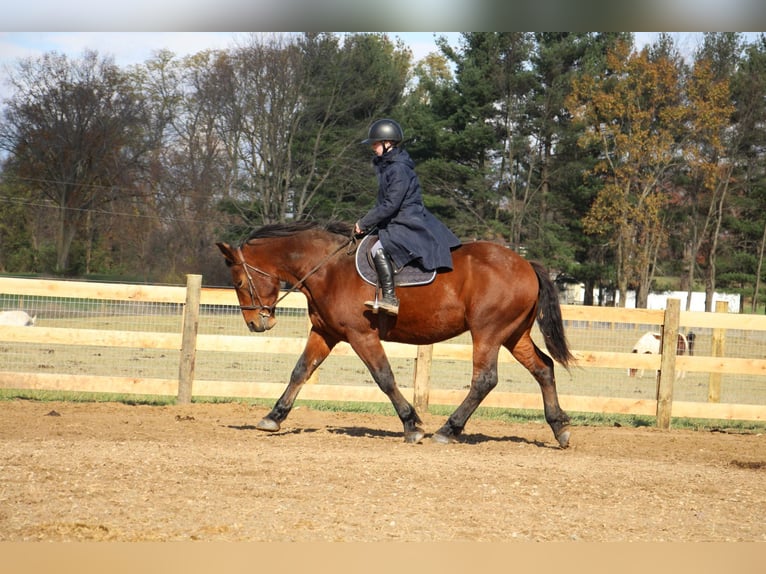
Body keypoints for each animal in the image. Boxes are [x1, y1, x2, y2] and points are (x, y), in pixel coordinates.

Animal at [216, 220, 576, 450]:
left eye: (239, 282)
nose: (256, 324)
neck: (328, 269)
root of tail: (526, 264)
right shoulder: (325, 333)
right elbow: (300, 372)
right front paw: (273, 417)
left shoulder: (361, 335)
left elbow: (384, 377)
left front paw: (411, 424)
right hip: (514, 334)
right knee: (543, 368)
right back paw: (559, 428)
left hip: (488, 333)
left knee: (484, 380)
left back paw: (448, 429)